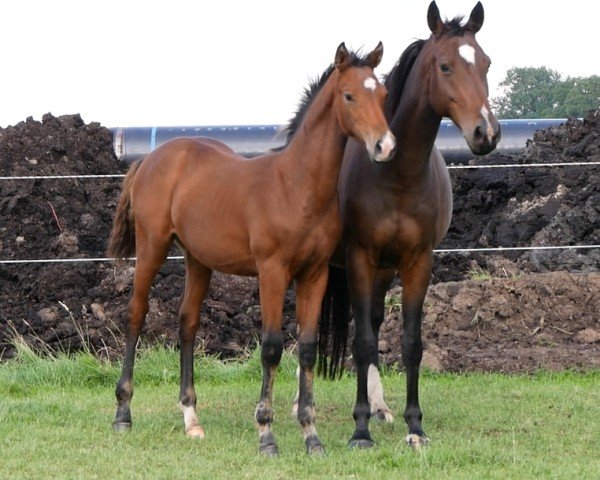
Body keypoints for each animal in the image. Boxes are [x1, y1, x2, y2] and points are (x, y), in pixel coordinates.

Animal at [108, 43, 396, 456]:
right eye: (349, 95)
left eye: (383, 94)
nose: (384, 146)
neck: (295, 186)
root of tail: (151, 158)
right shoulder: (272, 271)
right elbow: (272, 346)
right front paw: (266, 435)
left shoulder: (315, 274)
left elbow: (307, 347)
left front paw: (311, 435)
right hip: (152, 246)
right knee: (136, 314)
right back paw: (123, 413)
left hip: (199, 260)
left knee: (187, 322)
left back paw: (191, 419)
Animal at [318, 1, 502, 448]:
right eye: (445, 66)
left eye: (486, 62)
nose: (485, 133)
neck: (397, 173)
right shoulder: (359, 258)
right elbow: (363, 342)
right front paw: (360, 430)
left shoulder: (418, 262)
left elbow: (410, 343)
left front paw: (414, 426)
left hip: (384, 270)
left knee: (372, 323)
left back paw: (380, 407)